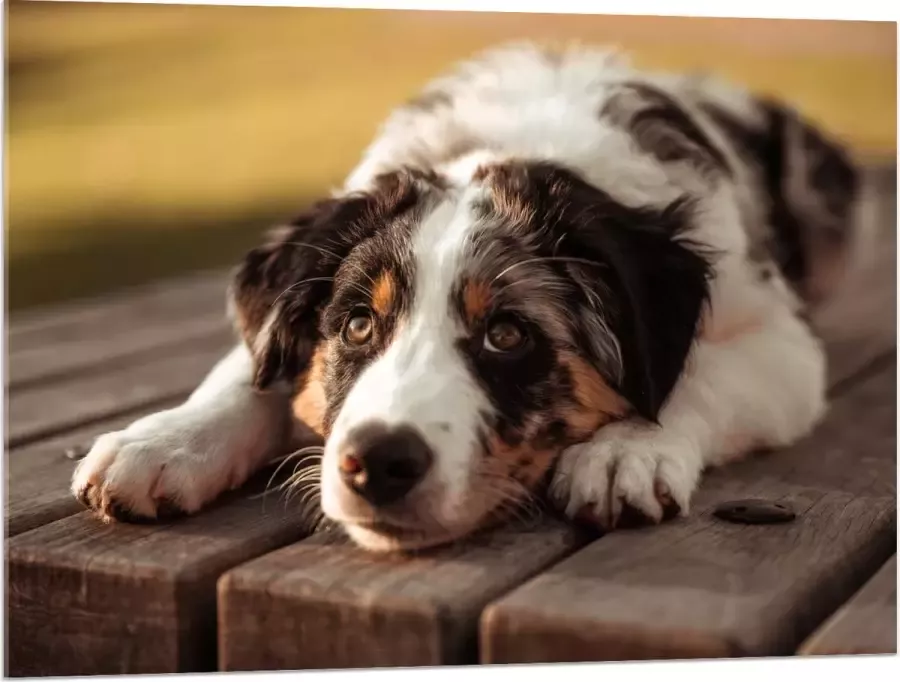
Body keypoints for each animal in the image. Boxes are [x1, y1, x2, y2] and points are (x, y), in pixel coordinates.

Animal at [70, 42, 856, 548]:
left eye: (507, 334)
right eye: (357, 325)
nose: (377, 463)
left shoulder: (782, 342)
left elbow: (698, 374)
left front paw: (626, 450)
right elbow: (249, 369)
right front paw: (162, 442)